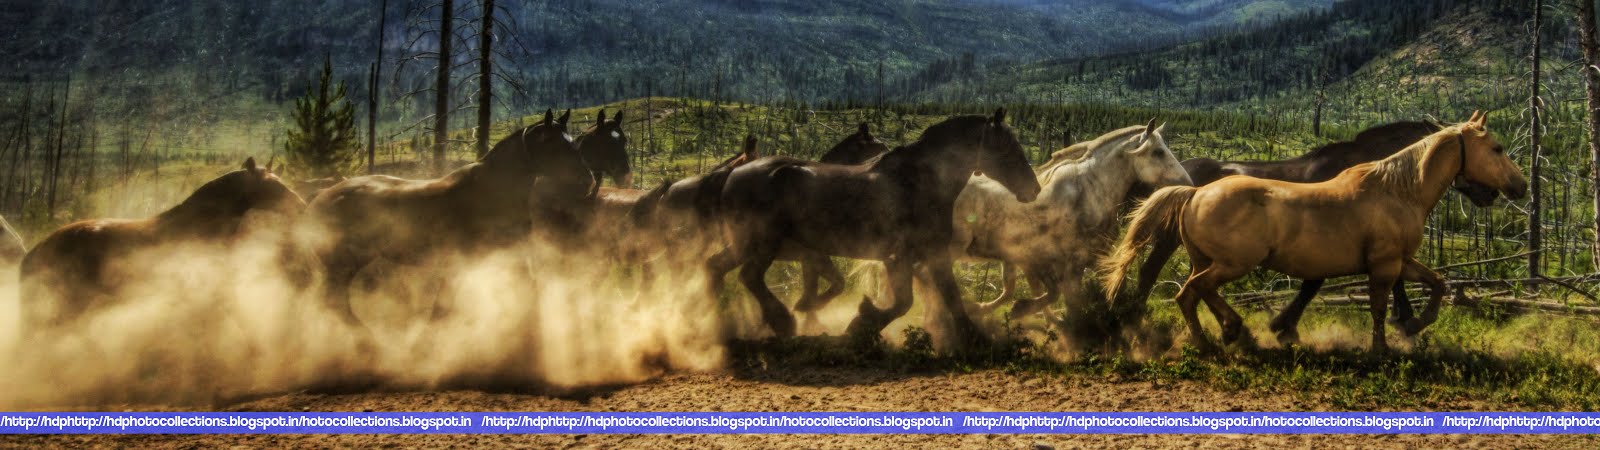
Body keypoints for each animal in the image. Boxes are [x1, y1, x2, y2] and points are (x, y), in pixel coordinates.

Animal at [303, 109, 593, 327]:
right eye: (552, 144)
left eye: (572, 140)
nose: (586, 180)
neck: (492, 190)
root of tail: (322, 196)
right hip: (341, 263)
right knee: (334, 302)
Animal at [714, 110, 1041, 345]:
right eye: (1008, 148)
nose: (1034, 188)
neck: (919, 182)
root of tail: (734, 176)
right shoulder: (910, 255)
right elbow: (915, 301)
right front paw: (862, 323)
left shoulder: (920, 255)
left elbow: (940, 298)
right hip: (763, 244)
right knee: (749, 276)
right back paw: (782, 321)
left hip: (744, 244)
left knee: (716, 267)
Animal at [952, 120, 1190, 323]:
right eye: (1158, 152)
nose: (1187, 182)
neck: (1089, 190)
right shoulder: (1066, 260)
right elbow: (1064, 297)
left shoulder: (1088, 256)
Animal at [1100, 112, 1526, 352]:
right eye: (1498, 148)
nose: (1518, 187)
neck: (1393, 187)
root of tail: (1191, 189)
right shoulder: (1380, 259)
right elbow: (1367, 296)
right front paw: (1393, 335)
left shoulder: (1389, 258)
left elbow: (1434, 283)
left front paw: (1411, 325)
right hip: (1220, 259)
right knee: (1170, 282)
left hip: (1205, 258)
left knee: (1193, 288)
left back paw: (1227, 332)